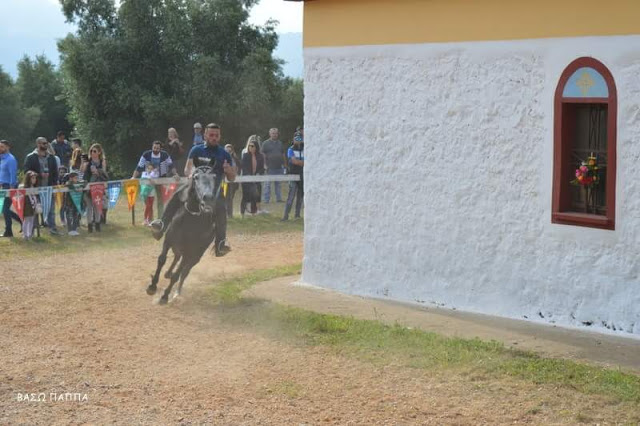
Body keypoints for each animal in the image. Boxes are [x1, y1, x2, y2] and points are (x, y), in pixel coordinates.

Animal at [145, 166, 218, 302]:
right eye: (196, 177)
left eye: (214, 178)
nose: (207, 198)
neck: (189, 220)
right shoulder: (168, 240)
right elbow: (161, 260)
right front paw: (152, 287)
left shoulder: (190, 253)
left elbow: (178, 274)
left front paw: (165, 296)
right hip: (178, 247)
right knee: (177, 257)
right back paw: (168, 273)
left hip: (196, 256)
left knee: (184, 272)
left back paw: (177, 292)